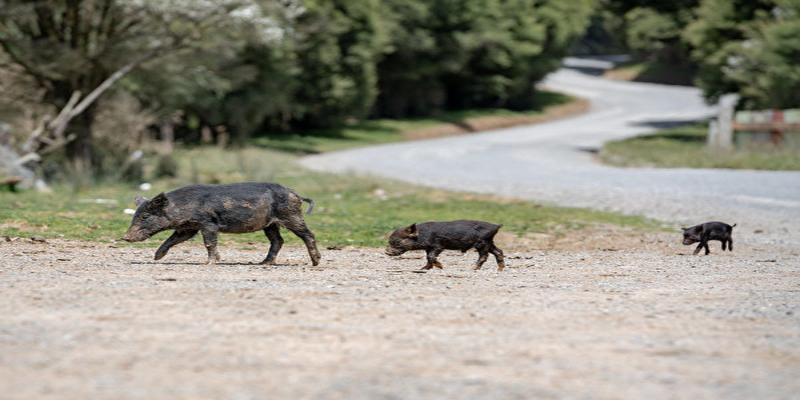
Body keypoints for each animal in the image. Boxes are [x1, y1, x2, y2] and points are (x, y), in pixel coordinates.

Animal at [120, 184, 320, 266]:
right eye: (135, 215)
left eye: (145, 216)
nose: (124, 237)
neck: (180, 208)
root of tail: (295, 193)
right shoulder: (188, 227)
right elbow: (172, 240)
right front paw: (157, 257)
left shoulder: (208, 223)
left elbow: (209, 243)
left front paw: (208, 263)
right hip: (270, 224)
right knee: (277, 240)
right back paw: (263, 263)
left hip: (291, 216)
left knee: (308, 235)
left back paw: (315, 263)